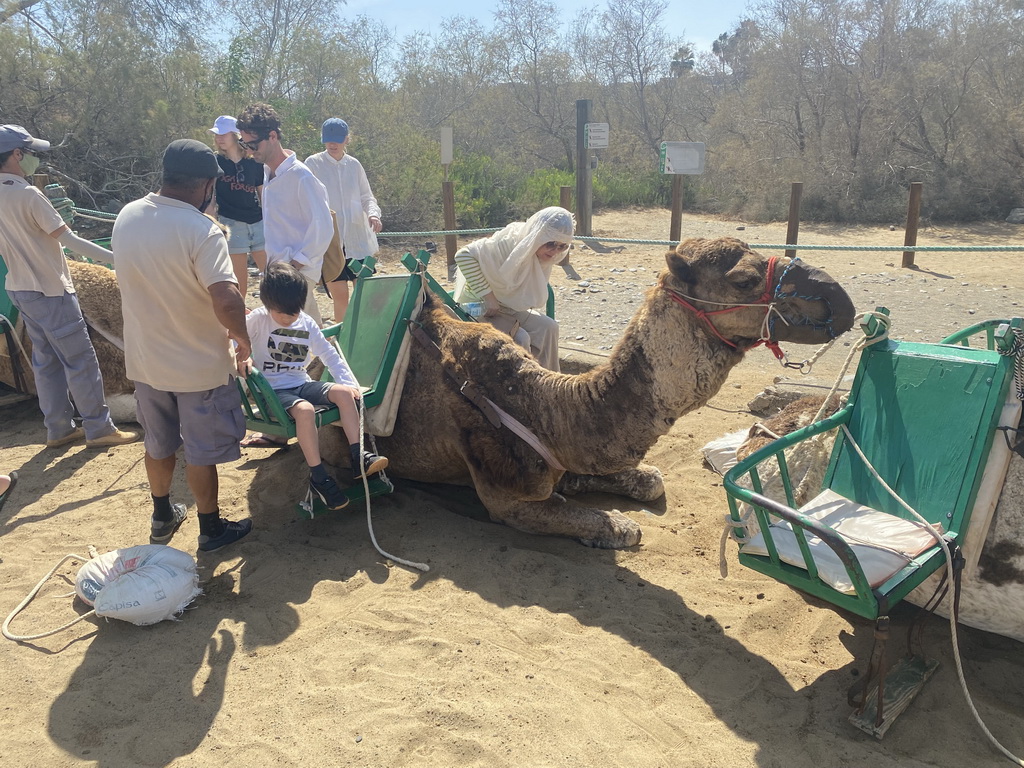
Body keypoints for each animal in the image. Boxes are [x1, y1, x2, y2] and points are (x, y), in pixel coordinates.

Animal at [321, 237, 856, 548]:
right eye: (743, 278)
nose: (838, 300)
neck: (540, 406)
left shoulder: (568, 456)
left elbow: (649, 478)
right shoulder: (509, 498)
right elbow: (609, 523)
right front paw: (618, 527)